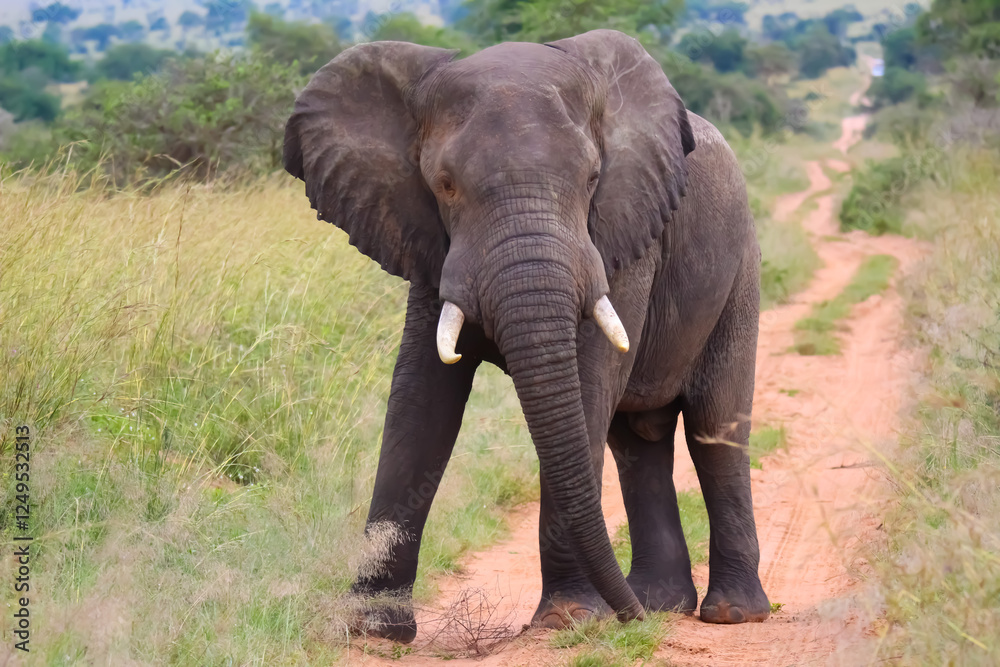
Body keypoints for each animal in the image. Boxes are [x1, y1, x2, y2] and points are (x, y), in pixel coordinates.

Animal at [283, 29, 770, 642]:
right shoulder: (428, 244)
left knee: (714, 427)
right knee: (636, 440)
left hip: (741, 269)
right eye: (444, 185)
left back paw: (727, 613)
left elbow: (585, 387)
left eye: (591, 180)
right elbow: (420, 401)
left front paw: (568, 620)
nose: (624, 623)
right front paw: (372, 628)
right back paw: (656, 604)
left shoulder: (619, 236)